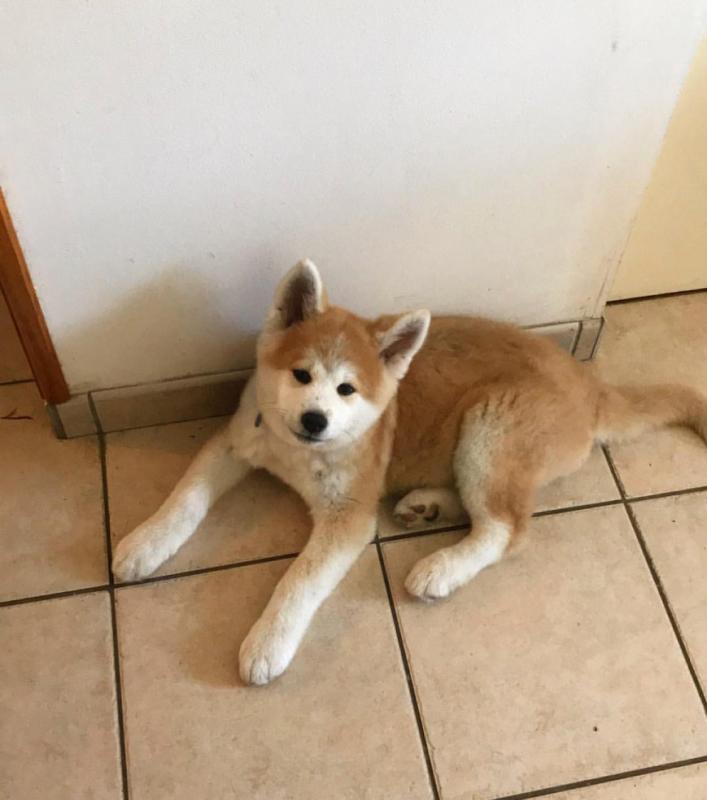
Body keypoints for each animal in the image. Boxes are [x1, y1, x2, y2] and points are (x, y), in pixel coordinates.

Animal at [112, 260, 707, 685]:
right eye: (301, 375)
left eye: (347, 389)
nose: (314, 419)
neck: (294, 451)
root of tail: (591, 385)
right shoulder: (237, 442)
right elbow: (185, 497)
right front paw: (145, 541)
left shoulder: (348, 516)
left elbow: (299, 580)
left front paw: (267, 642)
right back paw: (426, 504)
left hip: (490, 424)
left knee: (506, 527)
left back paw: (441, 567)